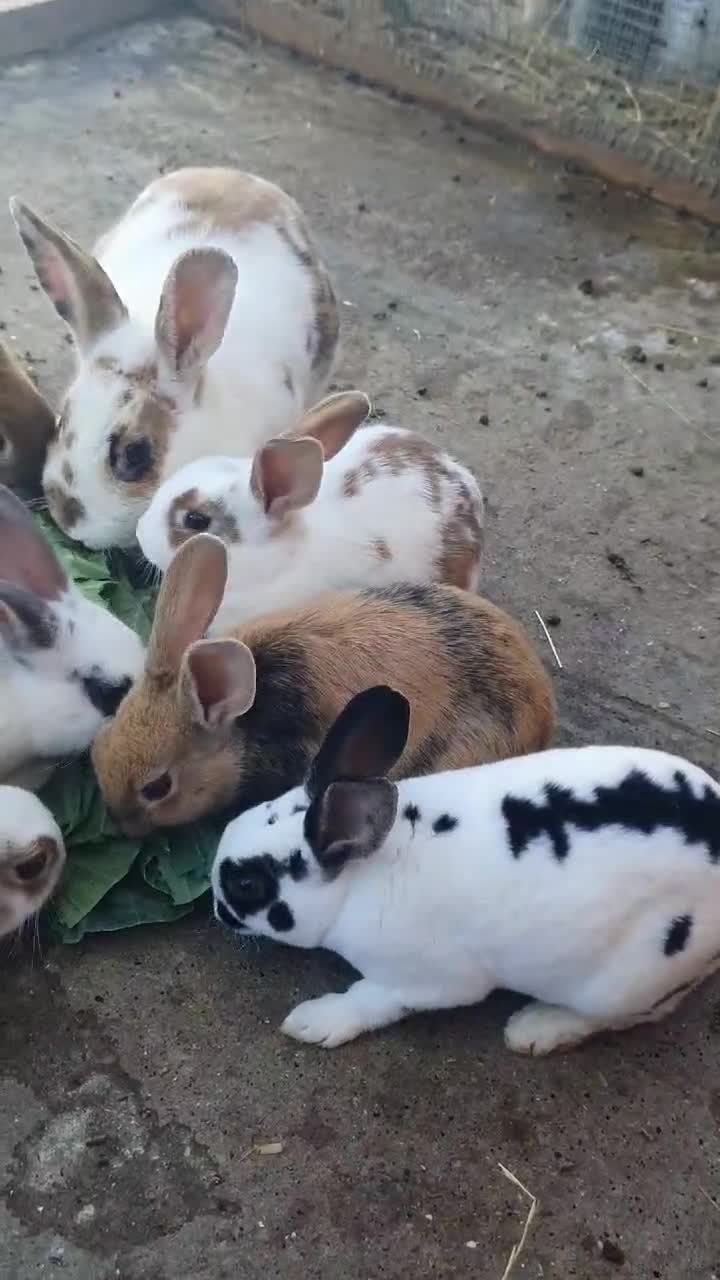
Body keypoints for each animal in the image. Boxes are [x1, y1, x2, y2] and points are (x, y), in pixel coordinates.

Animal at [212, 684, 720, 1054]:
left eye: (247, 883)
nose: (217, 909)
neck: (359, 876)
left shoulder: (424, 981)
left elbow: (369, 1000)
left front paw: (314, 1022)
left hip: (625, 980)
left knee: (628, 1014)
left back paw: (535, 1029)